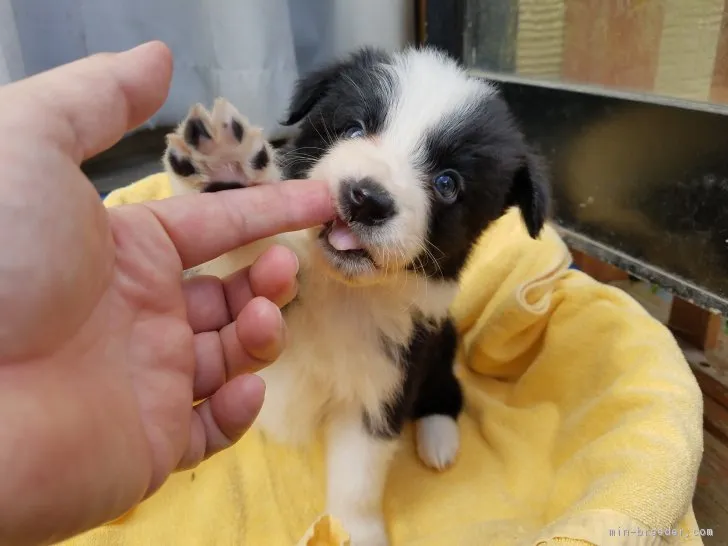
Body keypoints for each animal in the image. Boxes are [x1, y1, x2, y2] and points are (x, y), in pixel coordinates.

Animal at [164, 47, 544, 544]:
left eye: (447, 183)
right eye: (353, 129)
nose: (367, 199)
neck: (344, 293)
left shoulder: (388, 377)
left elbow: (357, 477)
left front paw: (353, 530)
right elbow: (244, 251)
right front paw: (225, 168)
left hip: (441, 347)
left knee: (447, 390)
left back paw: (438, 438)